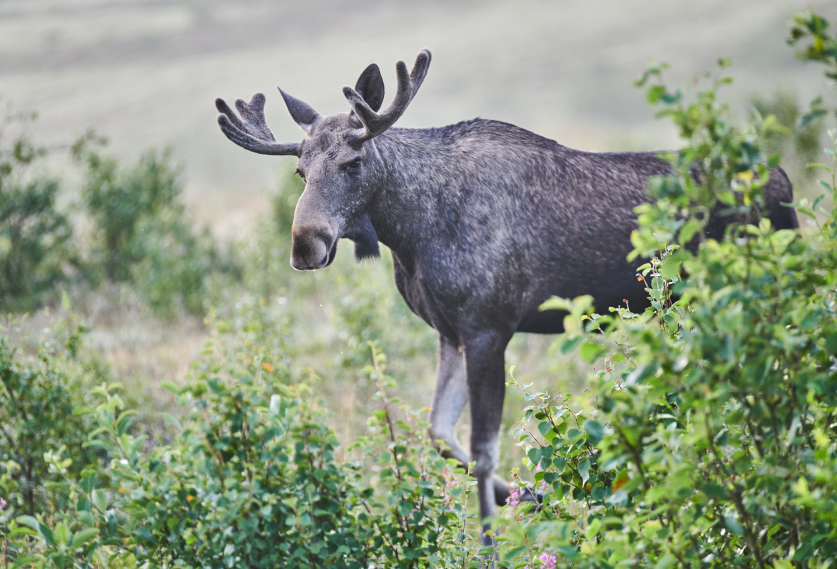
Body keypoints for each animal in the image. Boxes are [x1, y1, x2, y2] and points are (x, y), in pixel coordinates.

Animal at [214, 49, 799, 545]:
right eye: (300, 169)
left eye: (353, 163)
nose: (305, 245)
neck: (409, 230)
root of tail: (784, 180)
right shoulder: (450, 333)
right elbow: (440, 433)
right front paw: (534, 495)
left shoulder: (488, 327)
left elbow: (484, 449)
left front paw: (496, 540)